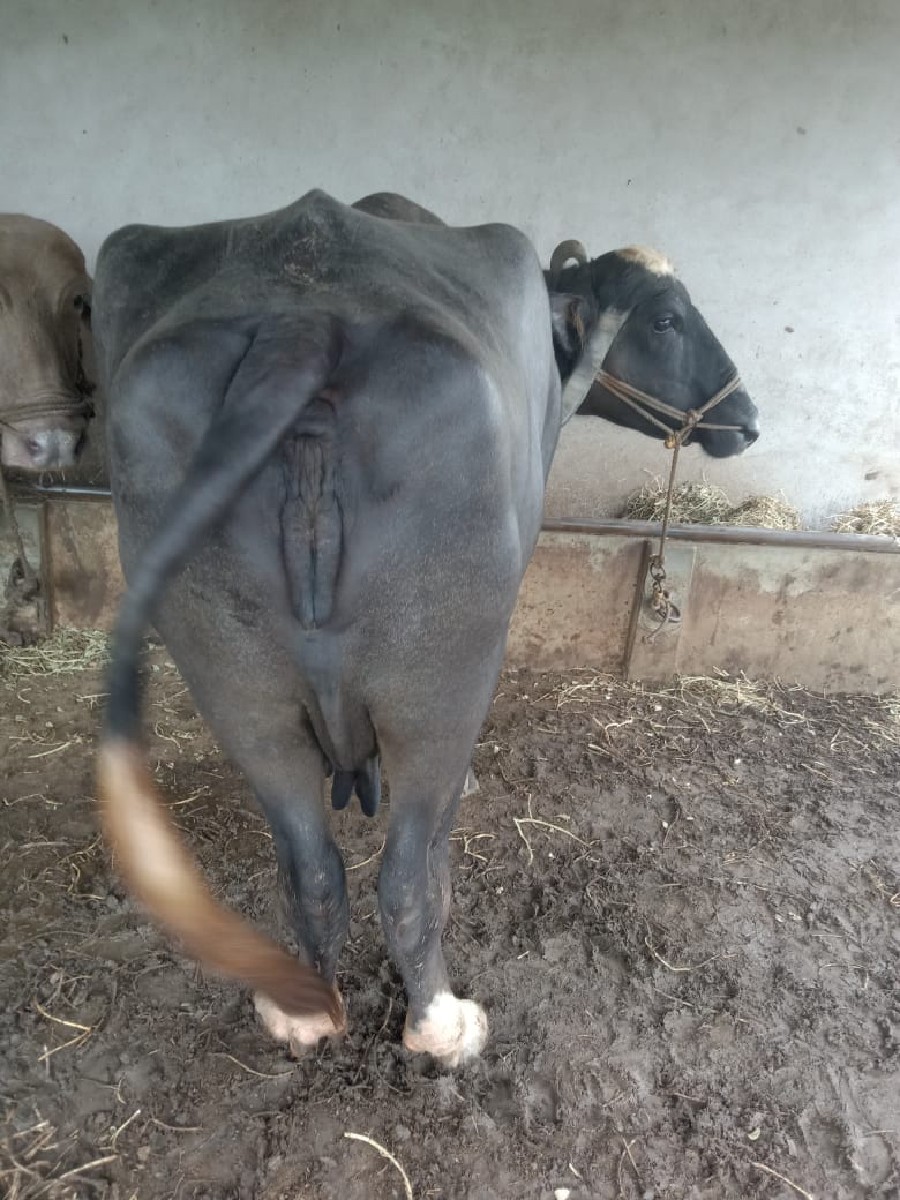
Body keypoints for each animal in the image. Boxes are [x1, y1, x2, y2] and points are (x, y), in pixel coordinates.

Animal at [94, 190, 758, 1068]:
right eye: (667, 319)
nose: (745, 418)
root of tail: (301, 322)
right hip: (438, 683)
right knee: (408, 876)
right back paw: (442, 1022)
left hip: (236, 688)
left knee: (311, 870)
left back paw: (304, 1012)